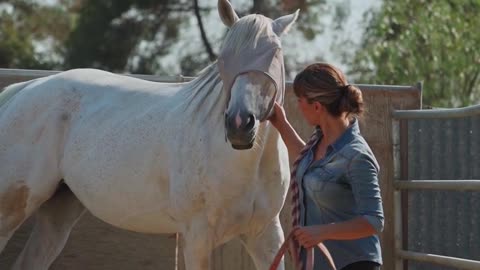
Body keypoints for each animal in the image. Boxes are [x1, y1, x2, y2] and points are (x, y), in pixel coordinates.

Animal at [0, 0, 296, 270]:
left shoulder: (266, 236)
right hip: (12, 208)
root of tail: (24, 88)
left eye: (275, 52)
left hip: (58, 214)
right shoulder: (197, 239)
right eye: (224, 57)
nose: (239, 124)